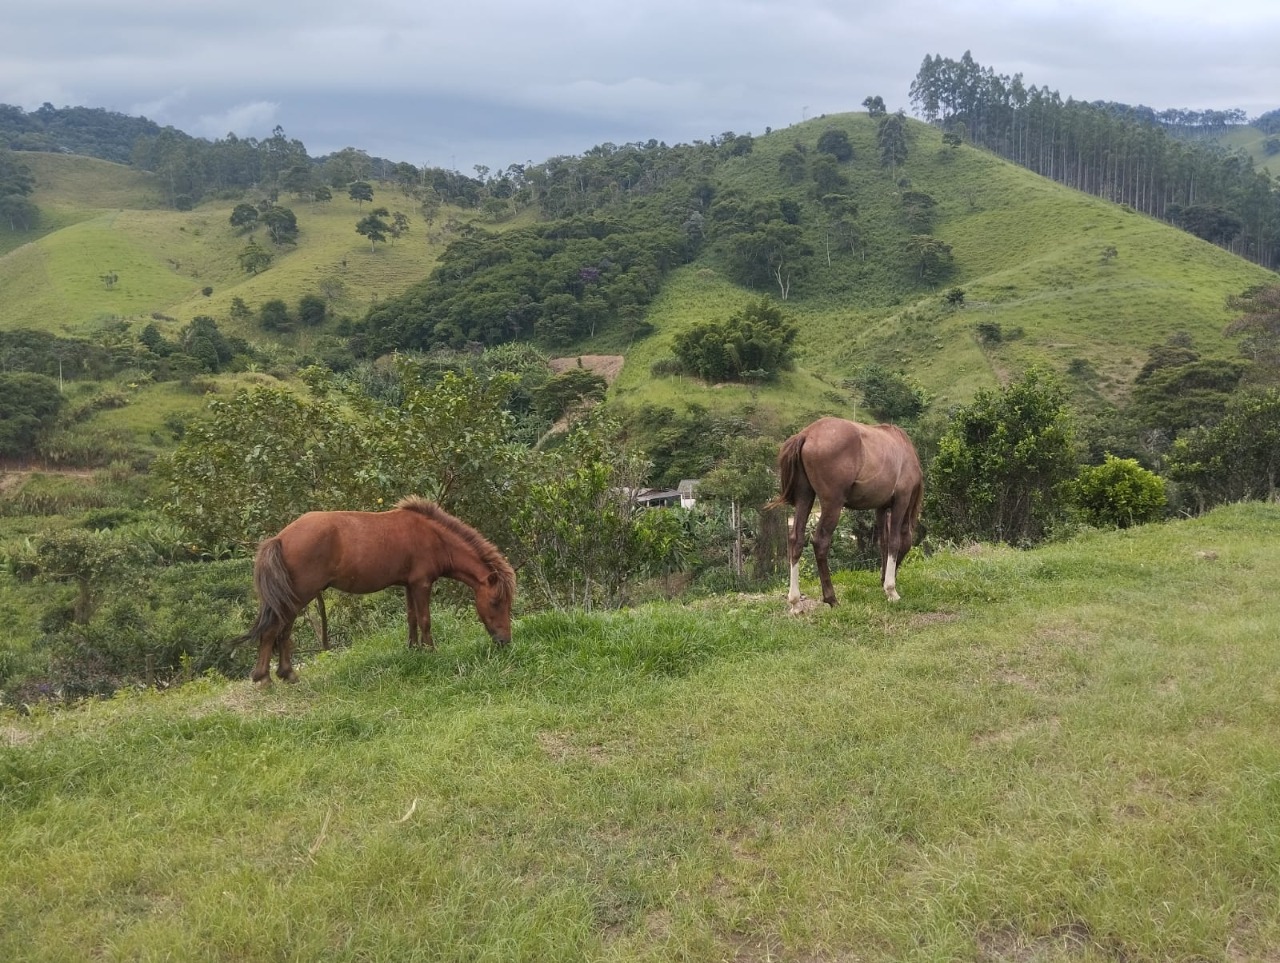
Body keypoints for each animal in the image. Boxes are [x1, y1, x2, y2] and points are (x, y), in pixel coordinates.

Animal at [230, 496, 514, 686]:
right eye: (496, 602)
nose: (505, 641)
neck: (434, 537)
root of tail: (280, 537)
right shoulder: (422, 584)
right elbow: (425, 620)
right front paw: (432, 652)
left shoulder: (409, 585)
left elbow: (411, 619)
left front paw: (413, 650)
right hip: (300, 596)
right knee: (273, 631)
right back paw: (264, 678)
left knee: (284, 632)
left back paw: (287, 674)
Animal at [768, 414, 921, 609]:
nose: (887, 579)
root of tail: (807, 434)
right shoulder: (901, 501)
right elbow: (894, 542)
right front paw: (891, 590)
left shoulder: (880, 507)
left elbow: (884, 543)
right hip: (833, 505)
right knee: (820, 542)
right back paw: (831, 598)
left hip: (805, 497)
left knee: (796, 540)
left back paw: (795, 602)